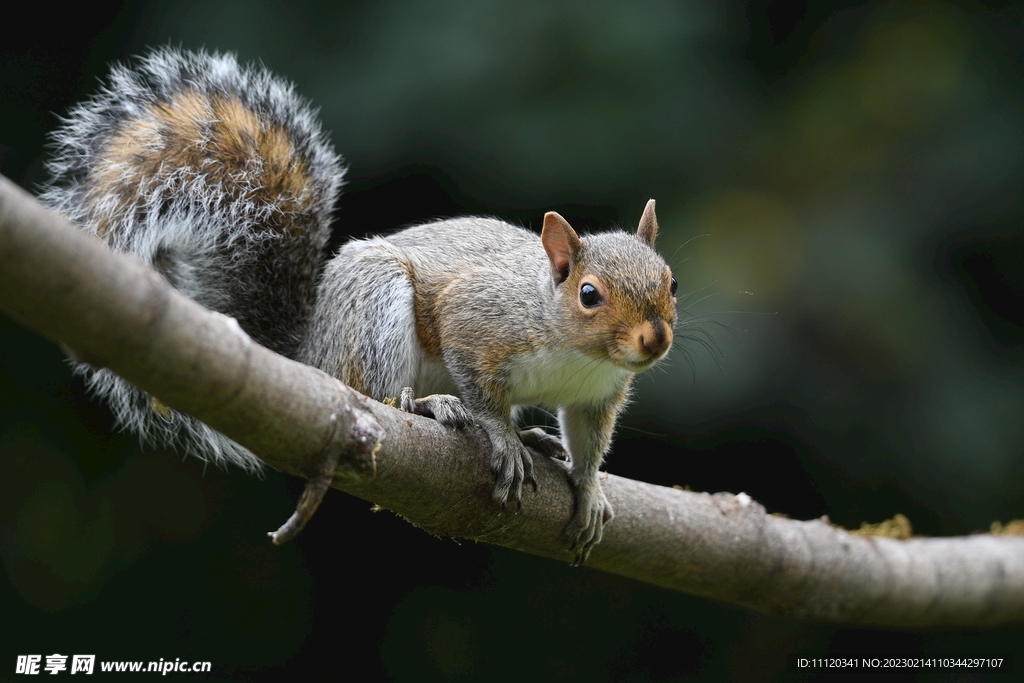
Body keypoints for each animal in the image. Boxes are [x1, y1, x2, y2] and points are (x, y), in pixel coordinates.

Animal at [41, 46, 679, 561]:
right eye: (589, 294)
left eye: (671, 282)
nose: (655, 339)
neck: (575, 350)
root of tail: (310, 356)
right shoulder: (479, 319)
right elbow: (479, 384)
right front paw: (500, 436)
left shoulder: (598, 396)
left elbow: (590, 440)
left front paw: (589, 487)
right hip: (376, 306)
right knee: (378, 394)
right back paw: (433, 407)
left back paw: (534, 438)